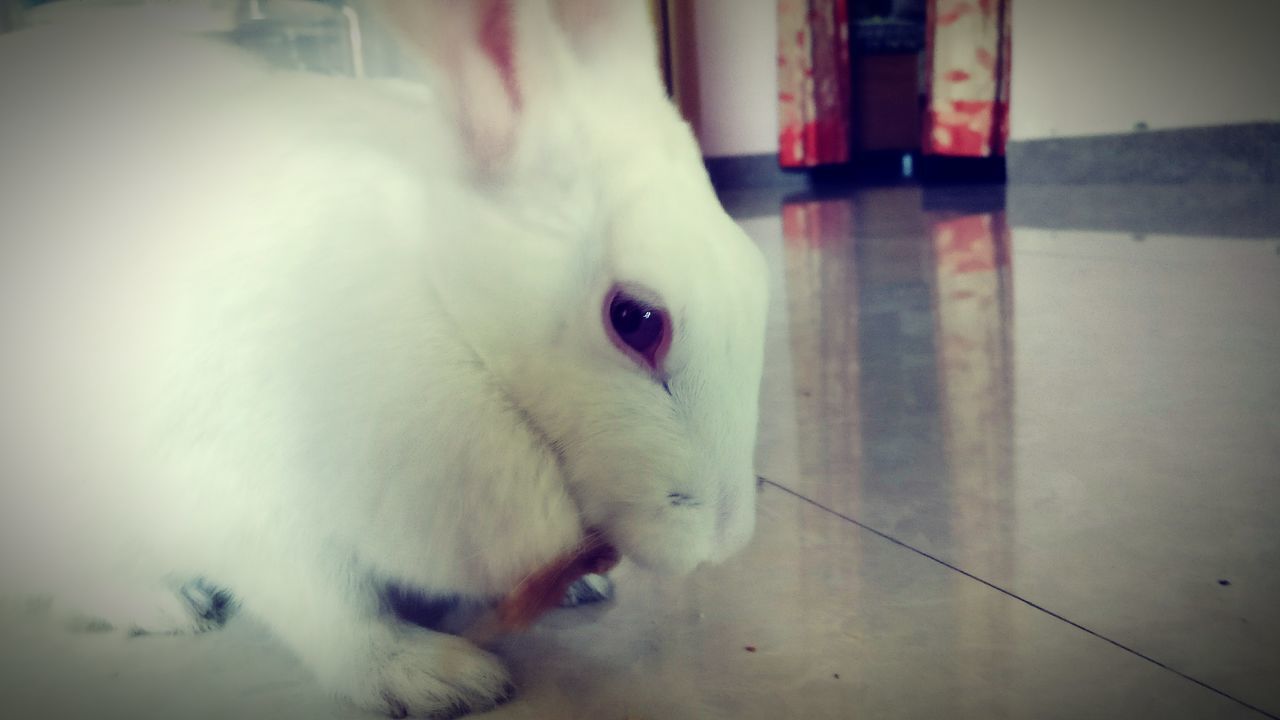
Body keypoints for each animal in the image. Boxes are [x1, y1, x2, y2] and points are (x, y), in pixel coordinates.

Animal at [0, 2, 762, 712]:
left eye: (756, 270)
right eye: (636, 320)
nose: (721, 543)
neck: (453, 315)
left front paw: (583, 585)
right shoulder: (249, 501)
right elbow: (334, 613)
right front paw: (436, 679)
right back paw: (165, 606)